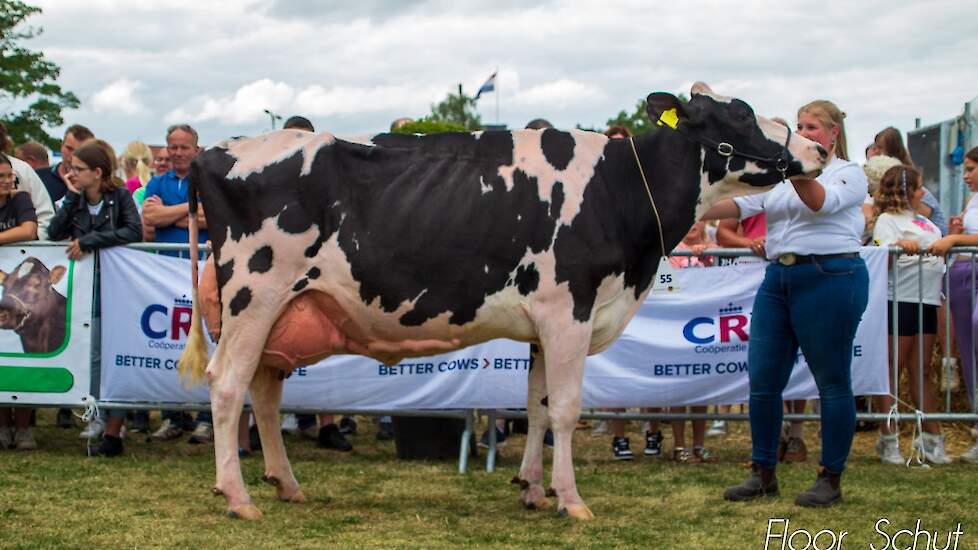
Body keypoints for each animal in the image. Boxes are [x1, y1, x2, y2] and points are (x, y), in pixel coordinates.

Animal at [181, 82, 824, 520]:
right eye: (741, 113)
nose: (818, 149)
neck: (621, 190)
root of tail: (215, 151)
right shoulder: (569, 310)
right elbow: (566, 408)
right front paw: (572, 501)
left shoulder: (546, 324)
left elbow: (537, 407)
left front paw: (534, 490)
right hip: (254, 294)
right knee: (228, 385)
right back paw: (238, 496)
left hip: (286, 310)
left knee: (265, 392)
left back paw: (286, 484)